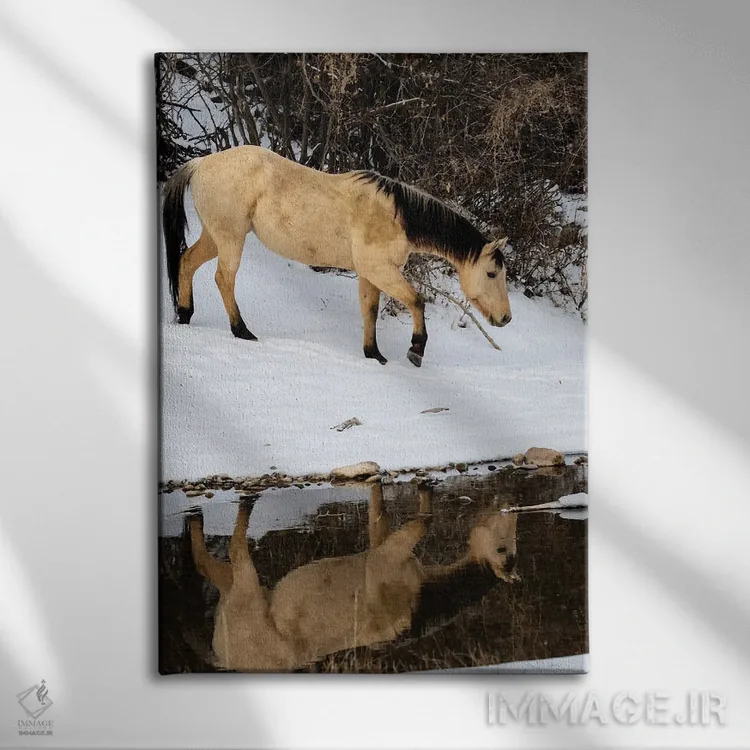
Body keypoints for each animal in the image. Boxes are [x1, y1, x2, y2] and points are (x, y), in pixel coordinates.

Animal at [162, 145, 512, 367]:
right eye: (492, 273)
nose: (506, 318)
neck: (397, 216)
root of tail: (201, 163)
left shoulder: (369, 274)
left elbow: (370, 311)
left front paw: (374, 355)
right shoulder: (381, 270)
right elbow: (416, 301)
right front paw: (416, 350)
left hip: (215, 237)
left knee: (187, 261)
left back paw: (184, 314)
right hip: (230, 239)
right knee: (223, 278)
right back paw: (242, 331)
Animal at [188, 483, 519, 672]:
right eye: (503, 547)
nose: (509, 502)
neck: (425, 597)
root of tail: (224, 661)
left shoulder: (387, 554)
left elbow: (417, 518)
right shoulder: (384, 549)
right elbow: (390, 513)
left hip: (244, 591)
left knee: (223, 553)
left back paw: (228, 506)